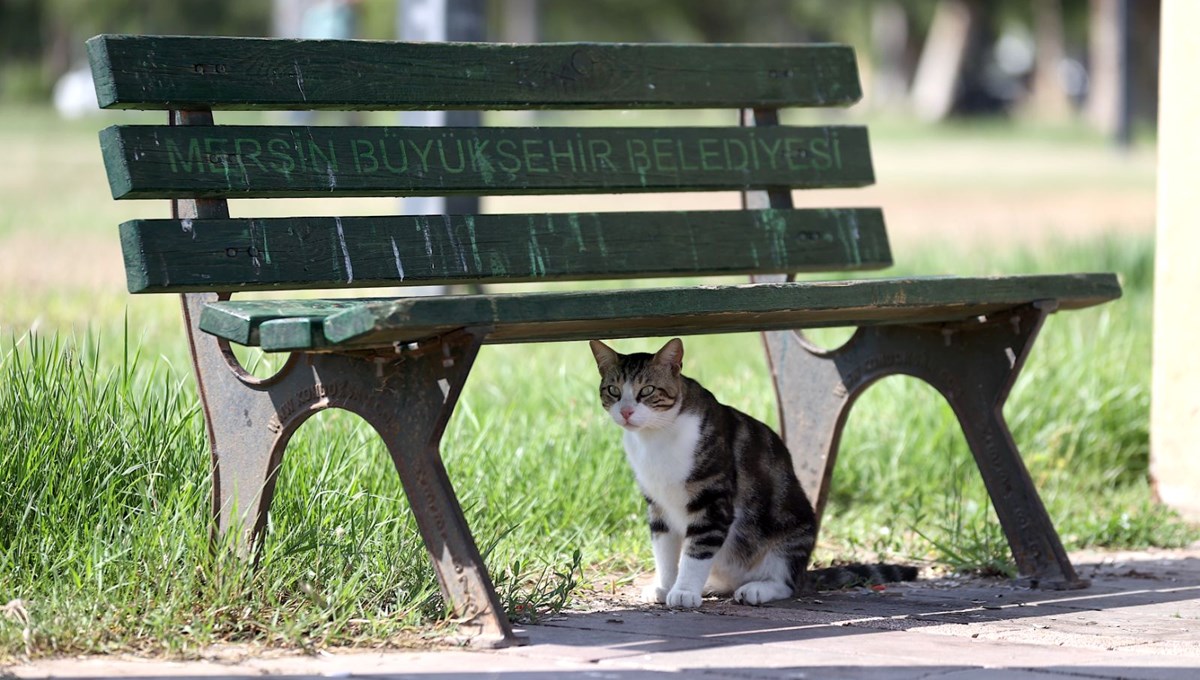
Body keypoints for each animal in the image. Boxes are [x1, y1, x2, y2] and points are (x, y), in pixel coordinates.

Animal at [590, 338, 916, 609]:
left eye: (646, 391)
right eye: (613, 391)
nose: (626, 411)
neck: (654, 439)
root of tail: (804, 573)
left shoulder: (712, 501)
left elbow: (697, 550)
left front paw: (683, 592)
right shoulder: (658, 505)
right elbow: (665, 551)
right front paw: (665, 586)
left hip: (789, 536)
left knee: (785, 584)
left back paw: (756, 589)